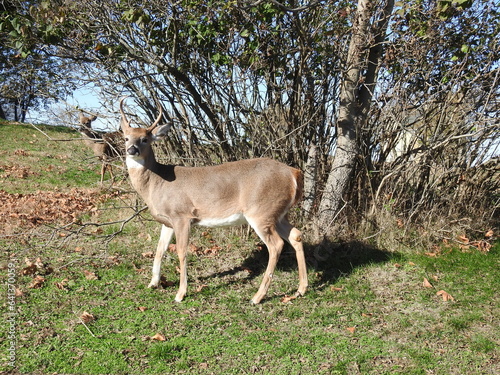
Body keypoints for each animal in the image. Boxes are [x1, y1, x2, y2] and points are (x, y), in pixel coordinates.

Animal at [120, 97, 308, 306]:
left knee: (275, 245)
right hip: (278, 213)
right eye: (126, 137)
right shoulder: (167, 221)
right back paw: (301, 289)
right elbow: (160, 250)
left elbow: (181, 252)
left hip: (260, 211)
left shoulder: (182, 216)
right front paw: (153, 283)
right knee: (296, 235)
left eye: (145, 139)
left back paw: (257, 297)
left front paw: (180, 294)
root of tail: (293, 173)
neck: (157, 182)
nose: (131, 149)